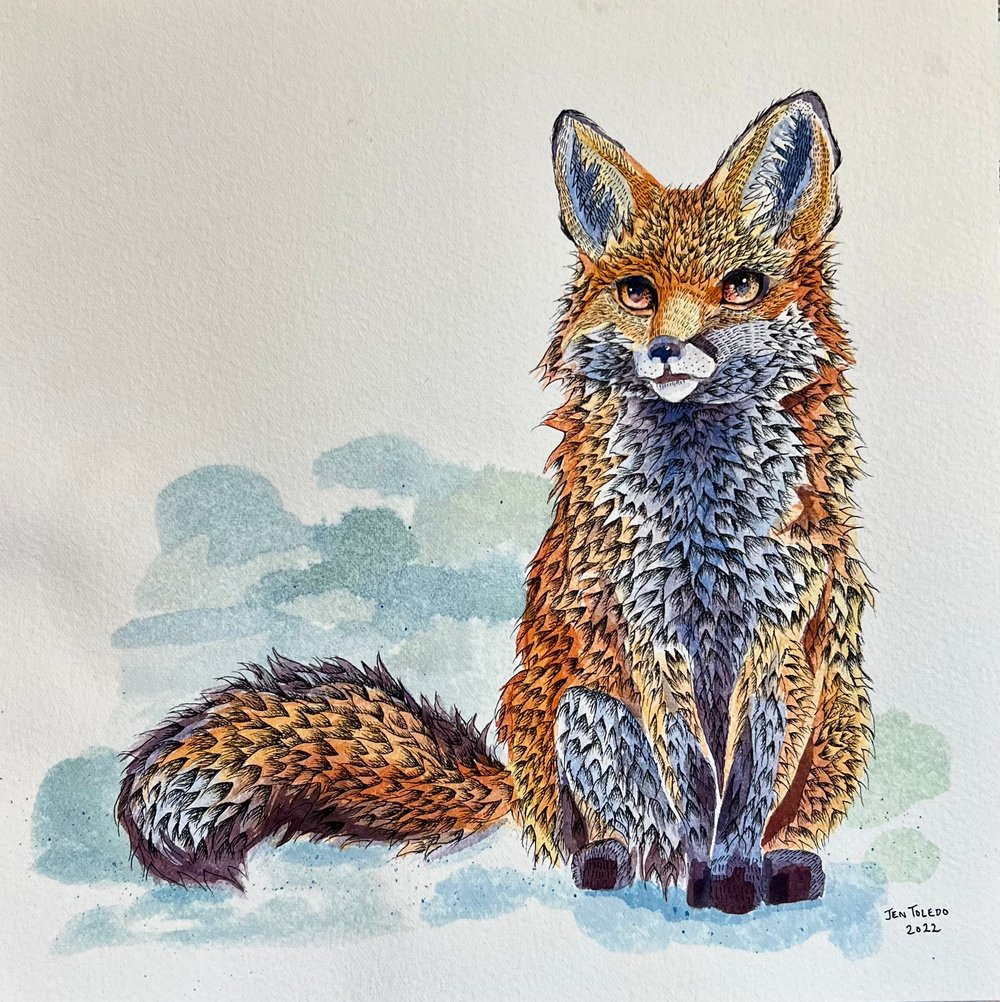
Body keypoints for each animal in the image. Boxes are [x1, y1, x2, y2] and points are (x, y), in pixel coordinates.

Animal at [117, 91, 872, 914]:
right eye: (637, 293)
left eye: (740, 287)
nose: (667, 351)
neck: (704, 523)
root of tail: (516, 787)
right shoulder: (650, 634)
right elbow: (699, 781)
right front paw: (712, 874)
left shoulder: (780, 639)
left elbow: (750, 789)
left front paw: (734, 874)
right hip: (584, 714)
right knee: (636, 838)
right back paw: (625, 863)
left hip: (840, 721)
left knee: (785, 817)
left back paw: (781, 864)